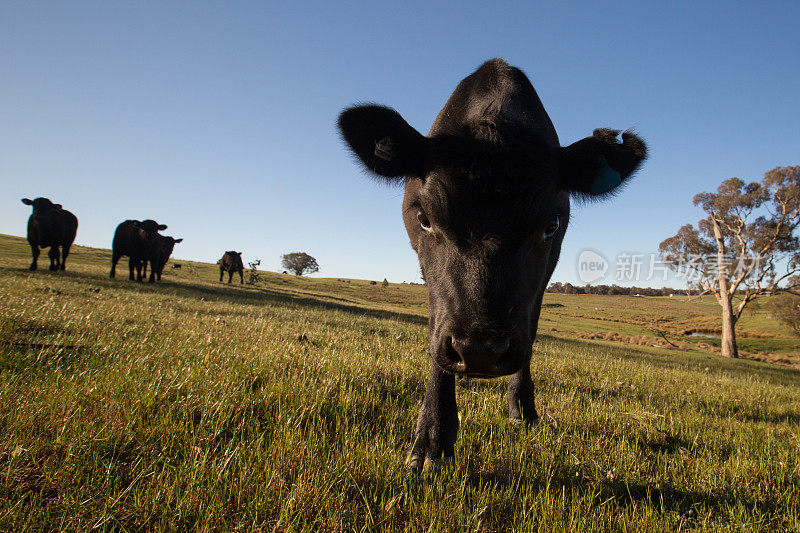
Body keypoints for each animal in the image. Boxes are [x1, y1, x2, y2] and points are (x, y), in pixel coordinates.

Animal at [334, 58, 648, 470]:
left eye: (551, 225)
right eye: (423, 217)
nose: (480, 351)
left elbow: (531, 328)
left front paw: (523, 408)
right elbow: (436, 329)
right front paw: (432, 438)